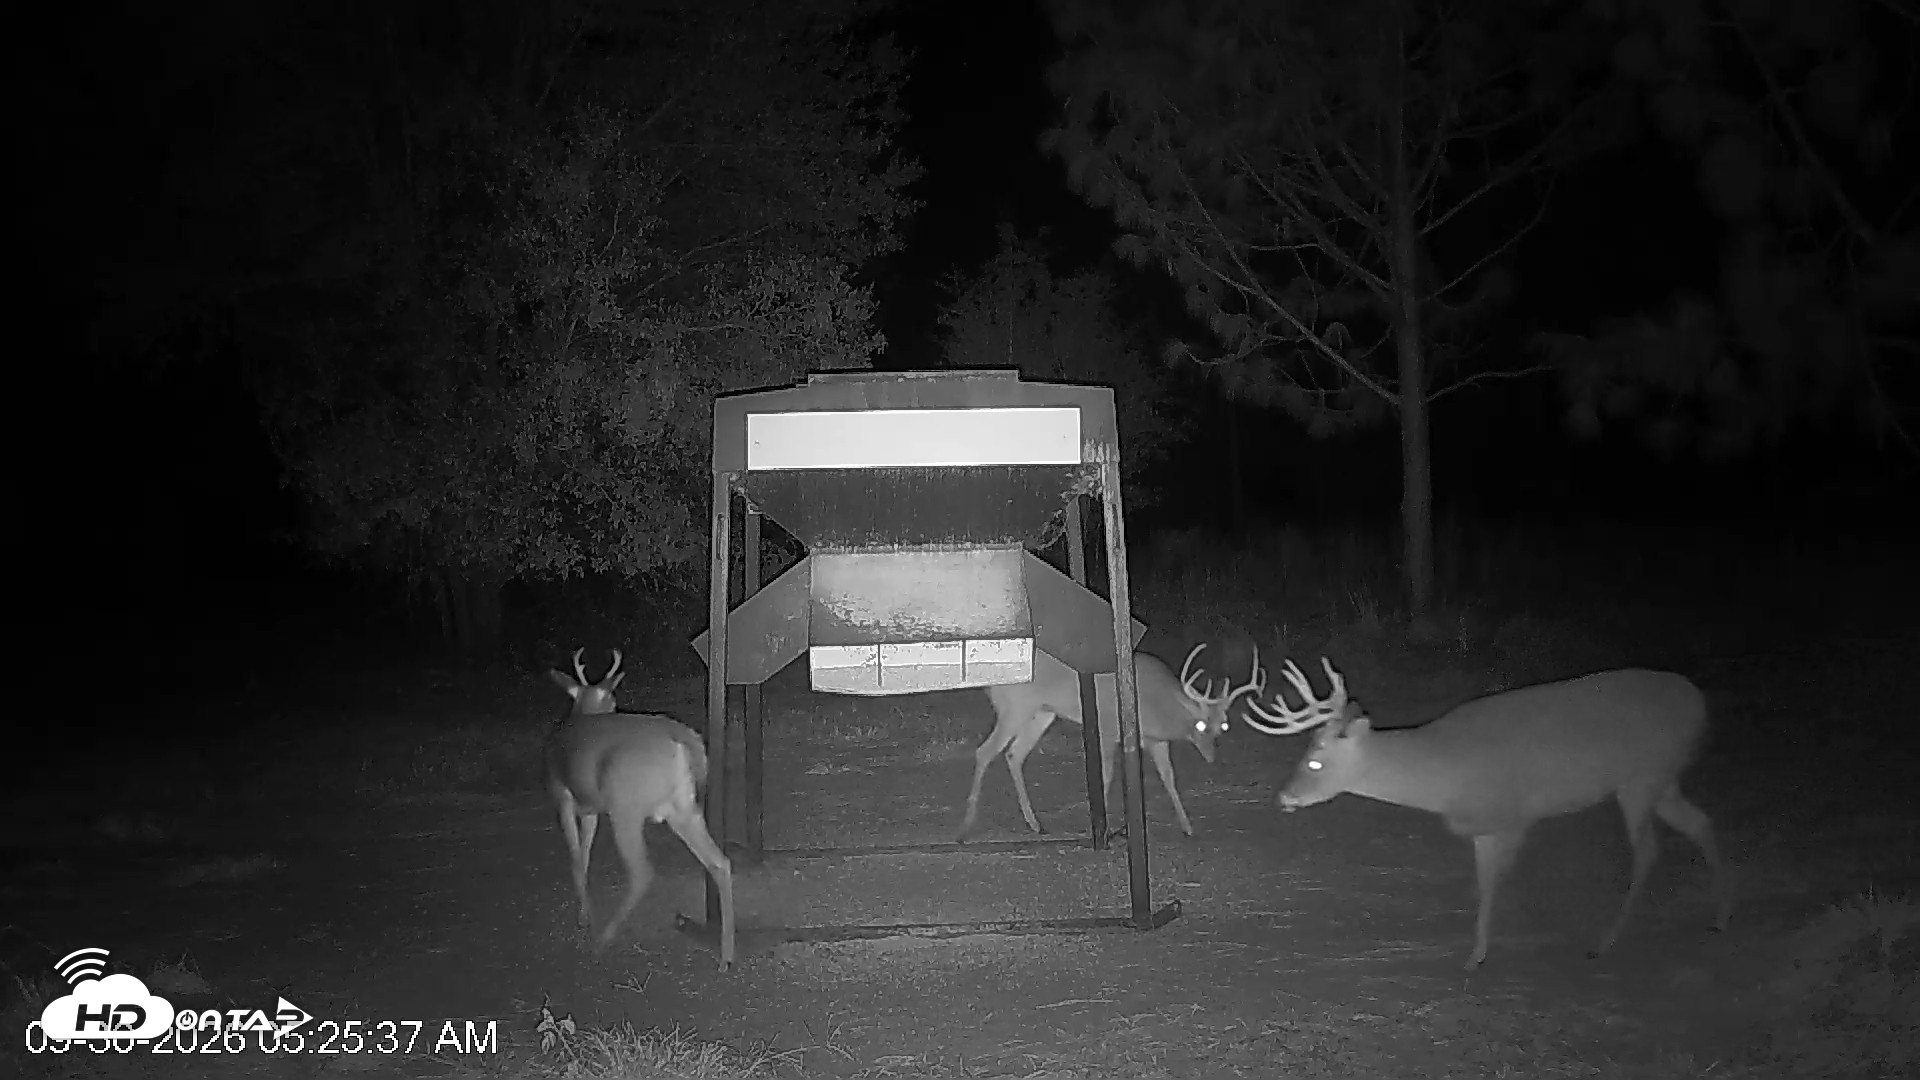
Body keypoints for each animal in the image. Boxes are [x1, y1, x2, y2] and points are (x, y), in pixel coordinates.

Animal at [545, 647, 735, 970]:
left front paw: (584, 919)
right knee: (720, 863)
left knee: (642, 872)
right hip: (684, 808)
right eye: (613, 699)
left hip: (626, 808)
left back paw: (602, 941)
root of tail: (684, 741)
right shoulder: (590, 809)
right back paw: (726, 956)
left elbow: (575, 859)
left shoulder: (562, 795)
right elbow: (584, 856)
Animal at [958, 643, 1267, 842]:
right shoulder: (1107, 728)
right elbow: (1105, 775)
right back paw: (967, 825)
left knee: (1014, 754)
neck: (1155, 704)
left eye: (1223, 726)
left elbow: (1169, 777)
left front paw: (1187, 826)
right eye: (1201, 725)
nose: (1211, 756)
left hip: (1042, 713)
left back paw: (1035, 824)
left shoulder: (1154, 741)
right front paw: (1101, 827)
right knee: (985, 751)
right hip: (1015, 708)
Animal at [1243, 658, 1732, 971]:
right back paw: (1718, 916)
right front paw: (1476, 952)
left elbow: (1495, 884)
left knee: (1648, 850)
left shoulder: (1513, 816)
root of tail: (1700, 700)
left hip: (1640, 778)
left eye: (1315, 761)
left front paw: (1481, 954)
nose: (1284, 797)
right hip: (1663, 778)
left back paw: (1606, 942)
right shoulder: (1483, 828)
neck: (1445, 776)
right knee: (1702, 822)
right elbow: (1483, 883)